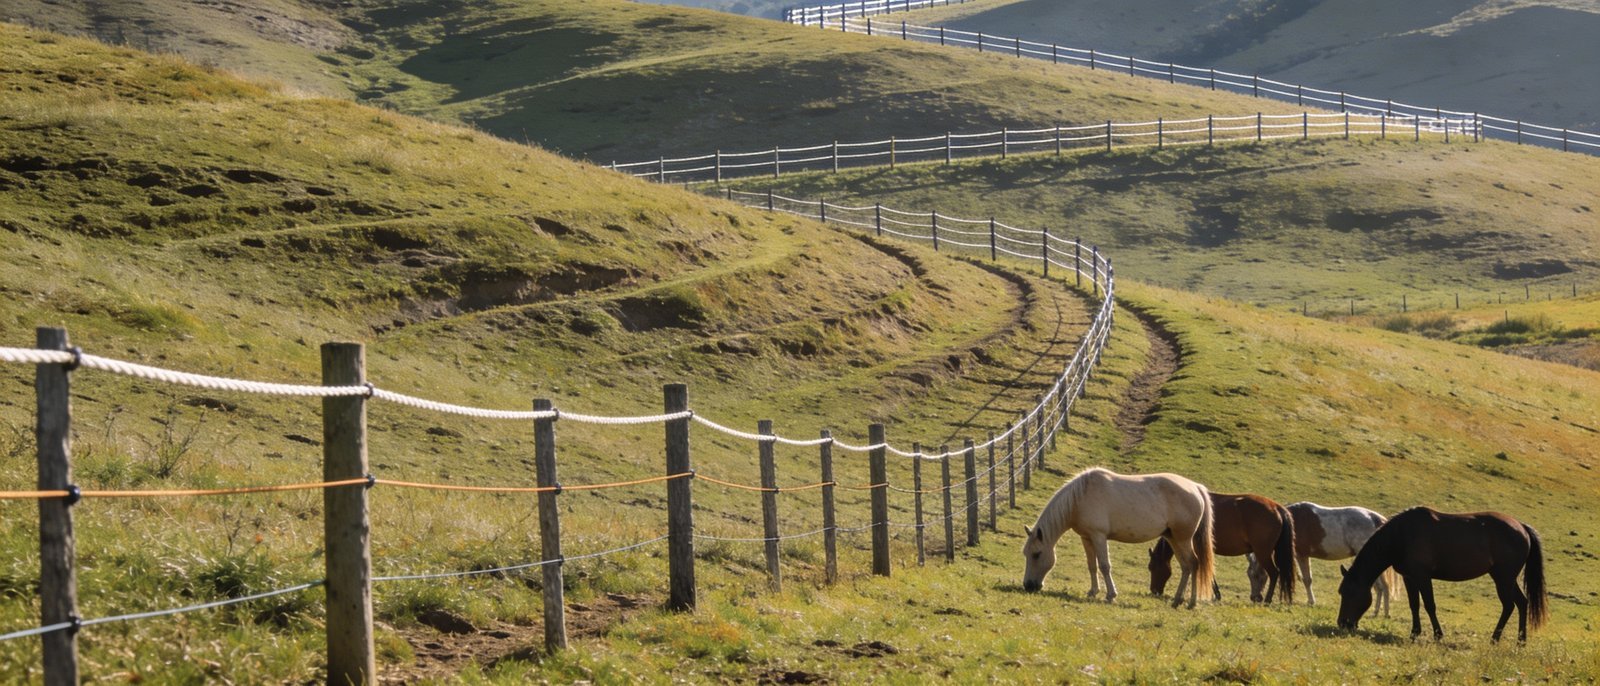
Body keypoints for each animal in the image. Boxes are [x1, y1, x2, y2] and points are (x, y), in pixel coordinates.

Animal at [1022, 467, 1215, 608]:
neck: (1080, 498)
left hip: (1183, 539)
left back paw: (1191, 602)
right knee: (1186, 567)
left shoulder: (1099, 536)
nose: (1029, 586)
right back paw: (1177, 600)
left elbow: (1104, 565)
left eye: (1037, 554)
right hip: (1173, 538)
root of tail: (1196, 487)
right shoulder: (1087, 538)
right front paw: (1093, 592)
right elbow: (1092, 566)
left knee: (1193, 563)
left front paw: (1110, 595)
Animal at [1148, 492, 1295, 604]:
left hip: (1263, 552)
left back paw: (1267, 600)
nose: (1154, 591)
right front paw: (1217, 595)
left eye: (1152, 567)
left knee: (1274, 573)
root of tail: (1277, 508)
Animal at [1249, 501, 1395, 612]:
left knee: (1383, 586)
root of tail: (1376, 519)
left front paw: (1311, 602)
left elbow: (1307, 579)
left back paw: (1382, 612)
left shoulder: (1301, 555)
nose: (1254, 598)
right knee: (1380, 587)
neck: (1290, 520)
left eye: (1255, 576)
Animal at [1337, 507, 1548, 642]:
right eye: (1341, 592)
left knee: (1509, 605)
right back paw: (1521, 640)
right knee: (1522, 603)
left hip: (1503, 578)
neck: (1402, 536)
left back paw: (1495, 638)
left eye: (1349, 593)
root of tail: (1522, 527)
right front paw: (1414, 633)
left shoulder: (1422, 577)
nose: (1342, 623)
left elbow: (1429, 605)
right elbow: (1414, 605)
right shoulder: (1409, 578)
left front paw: (1438, 635)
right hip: (1507, 579)